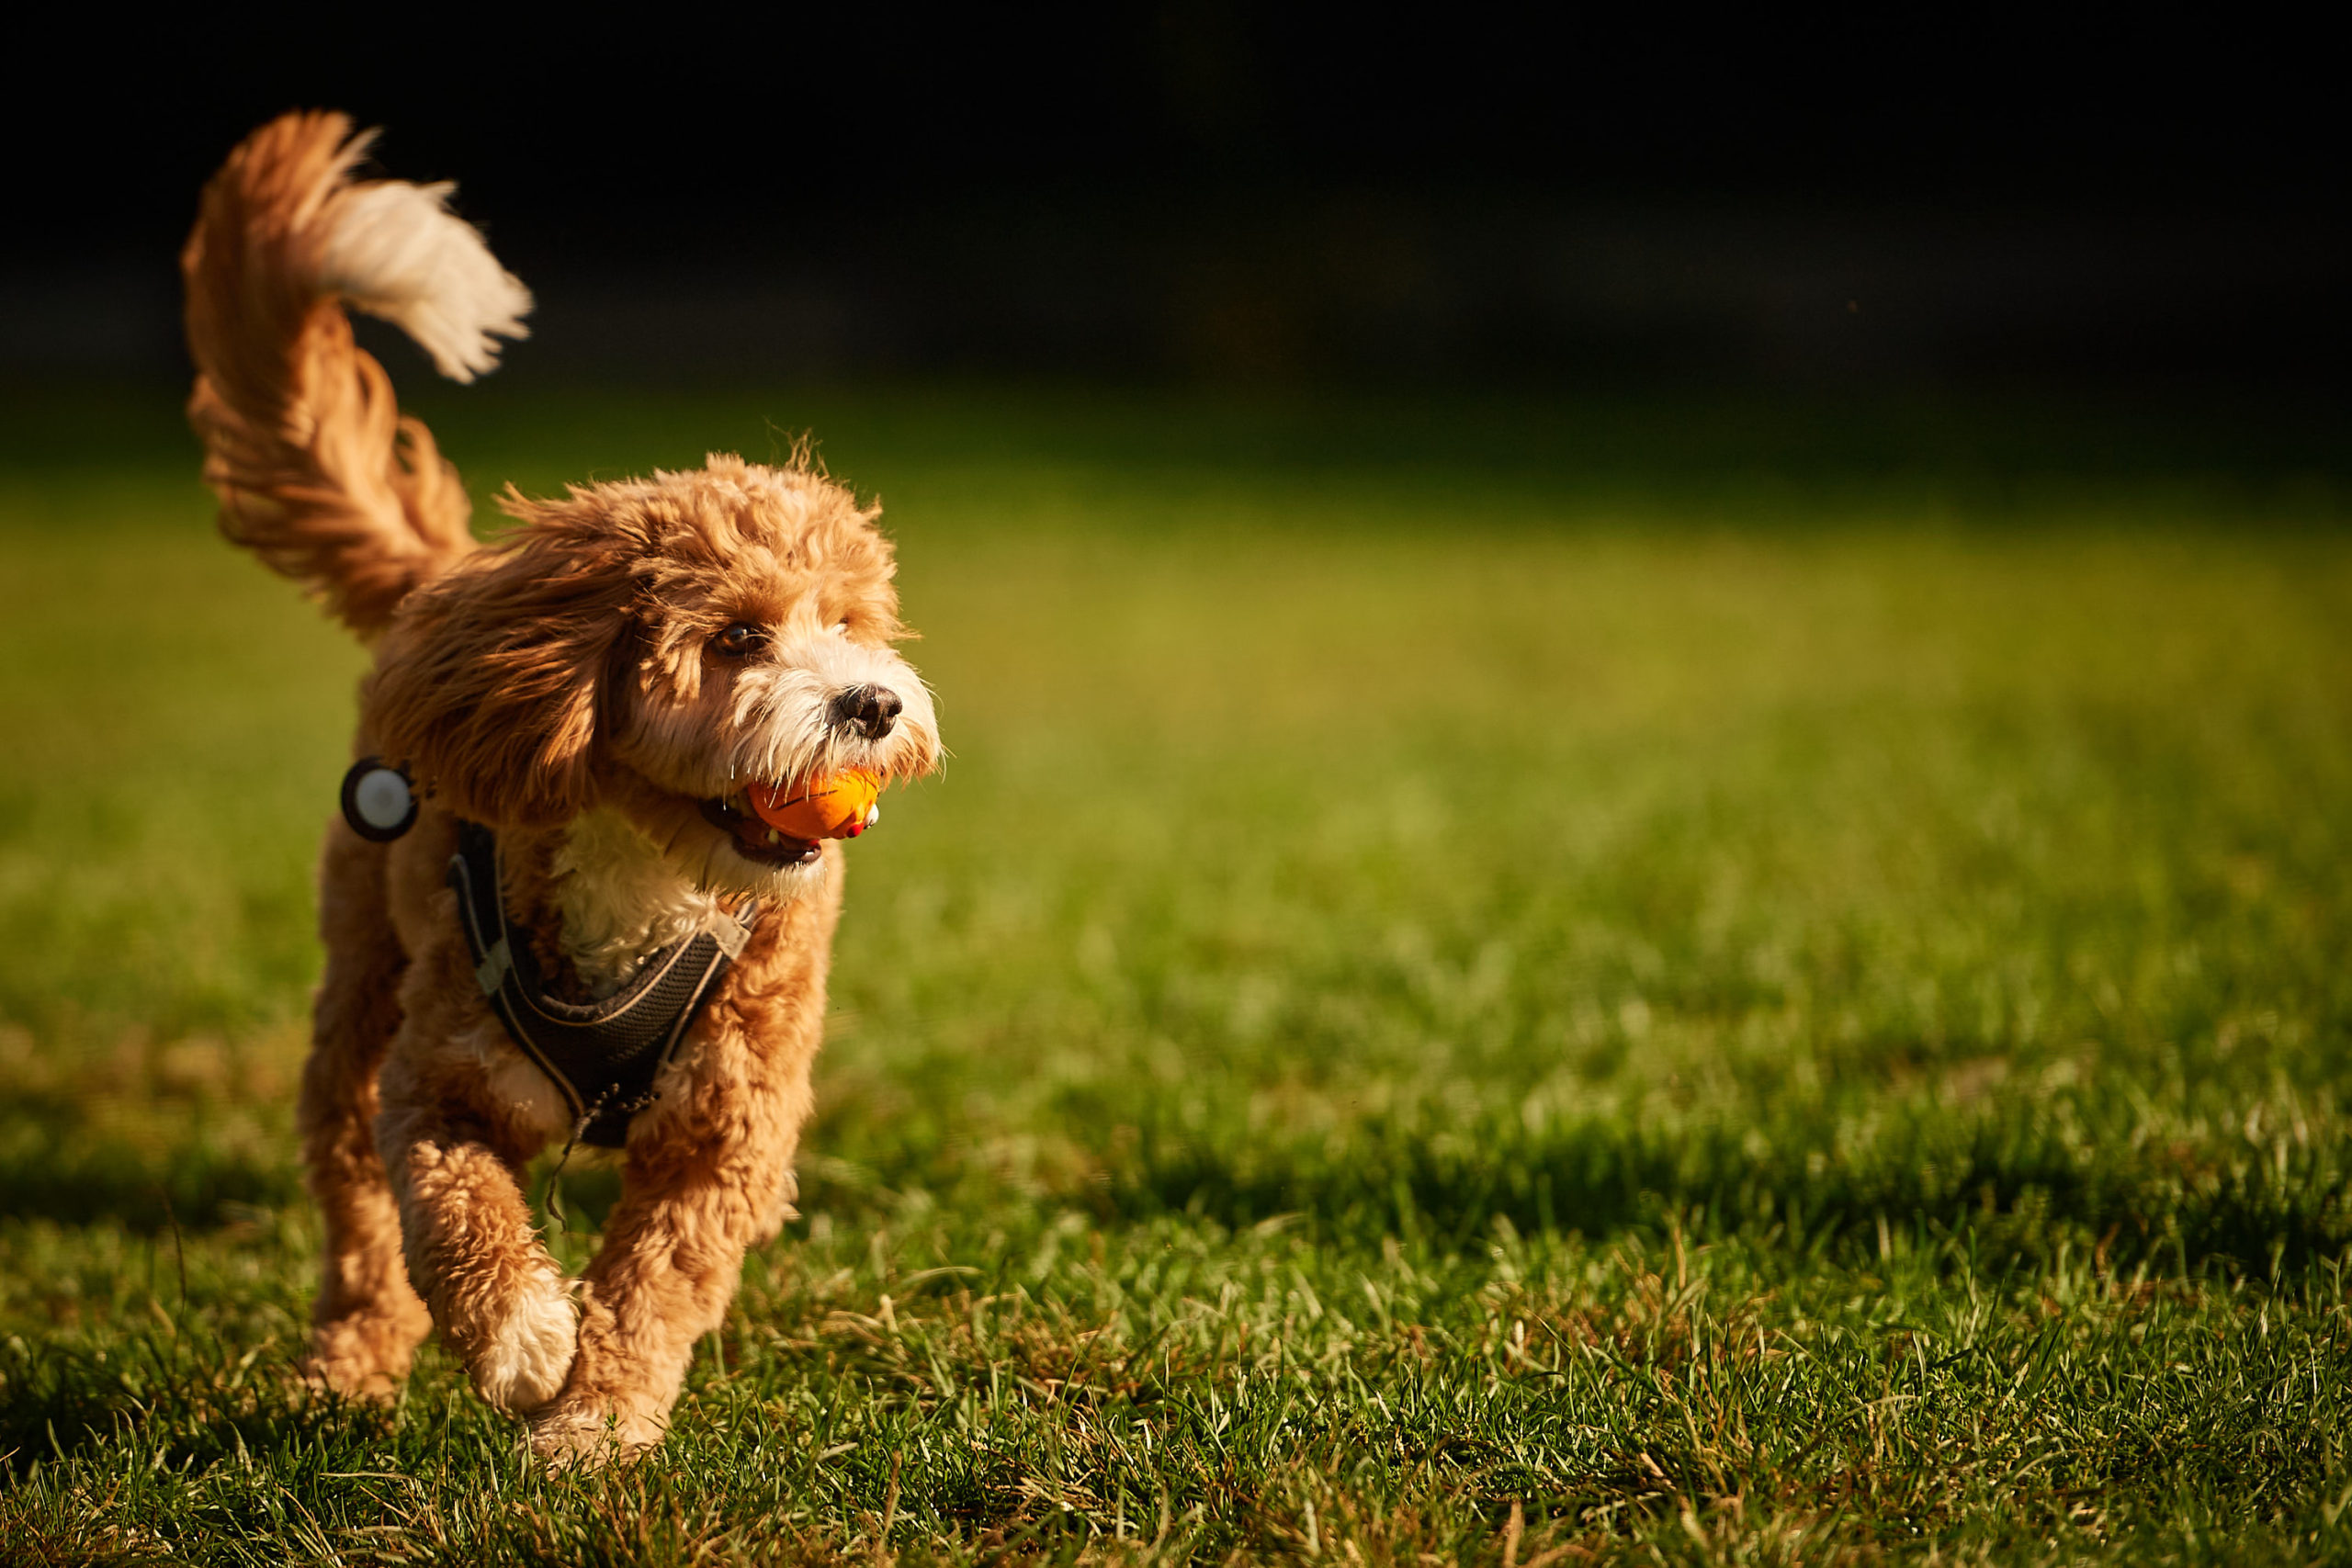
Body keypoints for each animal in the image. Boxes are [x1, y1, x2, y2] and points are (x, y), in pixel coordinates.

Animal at [183, 116, 941, 1466]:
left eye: (854, 623)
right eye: (737, 638)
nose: (873, 704)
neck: (649, 881)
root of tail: (449, 583)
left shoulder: (729, 1123)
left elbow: (656, 1281)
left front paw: (593, 1419)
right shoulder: (441, 1077)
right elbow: (455, 1210)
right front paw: (525, 1340)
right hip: (361, 984)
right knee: (356, 1206)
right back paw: (345, 1368)